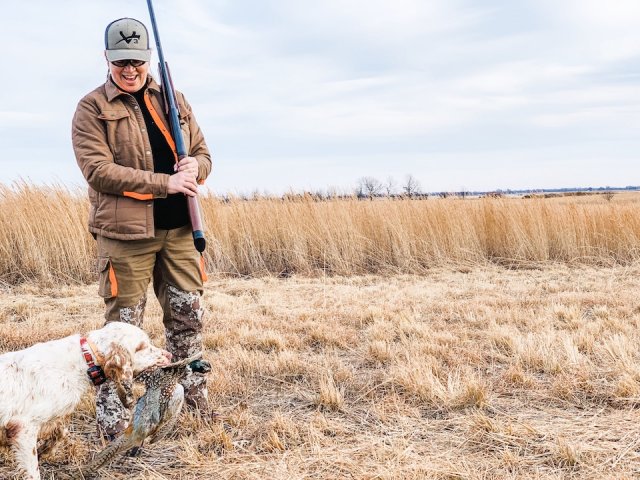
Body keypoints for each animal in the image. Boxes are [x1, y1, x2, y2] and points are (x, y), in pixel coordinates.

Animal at [0, 320, 172, 478]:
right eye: (141, 346)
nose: (169, 355)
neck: (82, 360)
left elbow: (61, 432)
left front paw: (45, 450)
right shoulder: (23, 427)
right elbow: (33, 471)